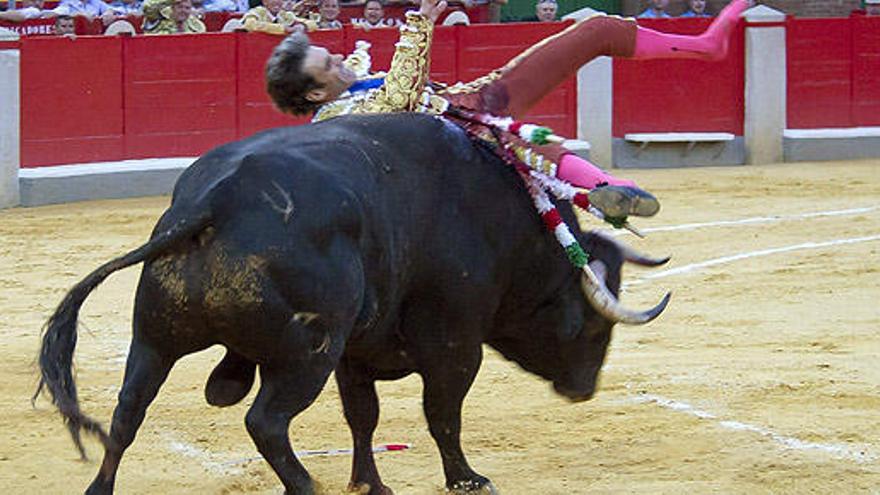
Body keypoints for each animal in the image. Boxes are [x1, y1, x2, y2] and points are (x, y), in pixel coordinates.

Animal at [32, 113, 668, 495]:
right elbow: (442, 414)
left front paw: (371, 483)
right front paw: (466, 478)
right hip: (306, 355)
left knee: (126, 412)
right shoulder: (454, 343)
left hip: (155, 339)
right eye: (594, 328)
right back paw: (305, 485)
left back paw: (101, 488)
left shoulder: (356, 352)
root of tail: (213, 203)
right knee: (266, 422)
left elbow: (363, 417)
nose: (583, 389)